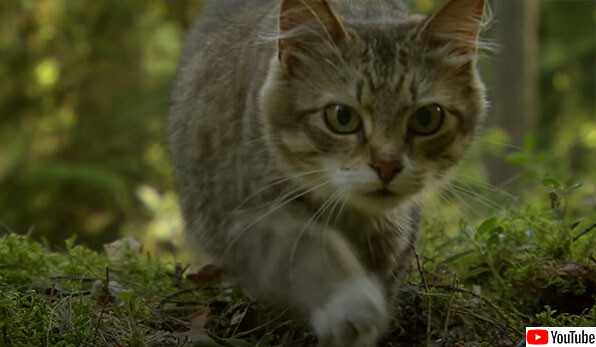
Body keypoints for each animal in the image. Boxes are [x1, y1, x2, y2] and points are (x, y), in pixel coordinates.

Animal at [166, 0, 484, 346]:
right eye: (341, 117)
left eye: (427, 118)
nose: (387, 166)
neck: (355, 218)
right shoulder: (242, 215)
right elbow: (311, 246)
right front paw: (350, 303)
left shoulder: (398, 232)